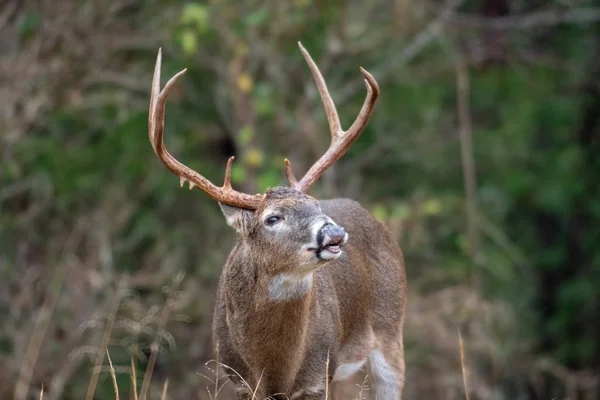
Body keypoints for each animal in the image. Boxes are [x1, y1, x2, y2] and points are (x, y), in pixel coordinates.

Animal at [148, 42, 408, 398]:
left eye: (314, 204)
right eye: (273, 219)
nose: (334, 232)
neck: (275, 368)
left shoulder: (318, 377)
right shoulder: (241, 381)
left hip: (391, 329)